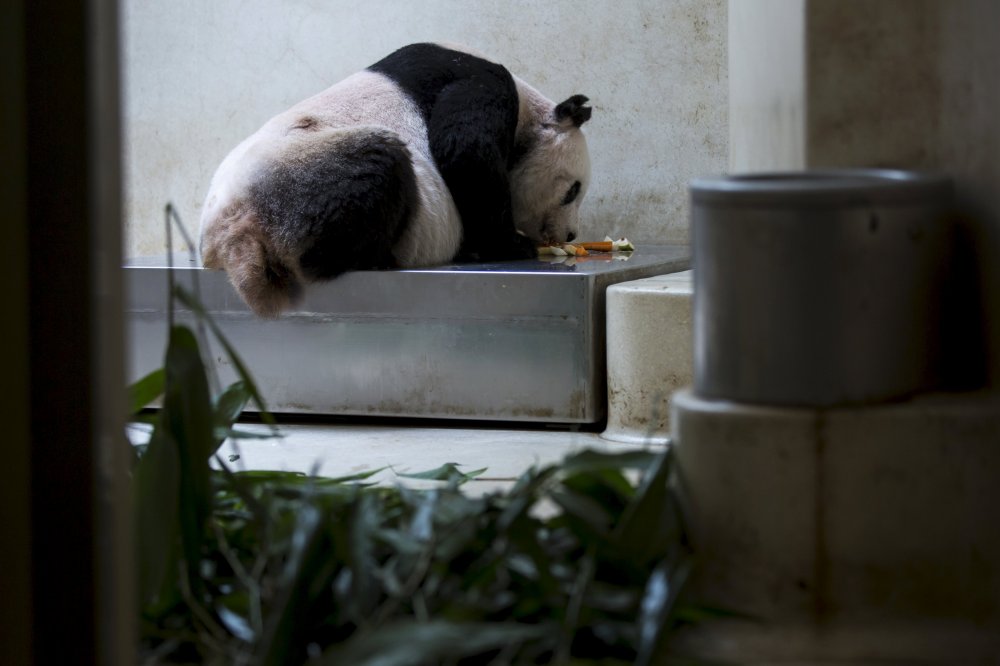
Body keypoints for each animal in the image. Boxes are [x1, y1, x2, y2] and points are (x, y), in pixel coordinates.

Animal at [203, 41, 592, 316]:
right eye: (572, 191)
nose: (571, 234)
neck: (531, 108)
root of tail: (235, 233)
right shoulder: (477, 80)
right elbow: (465, 150)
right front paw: (511, 244)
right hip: (302, 179)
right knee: (378, 162)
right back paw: (376, 257)